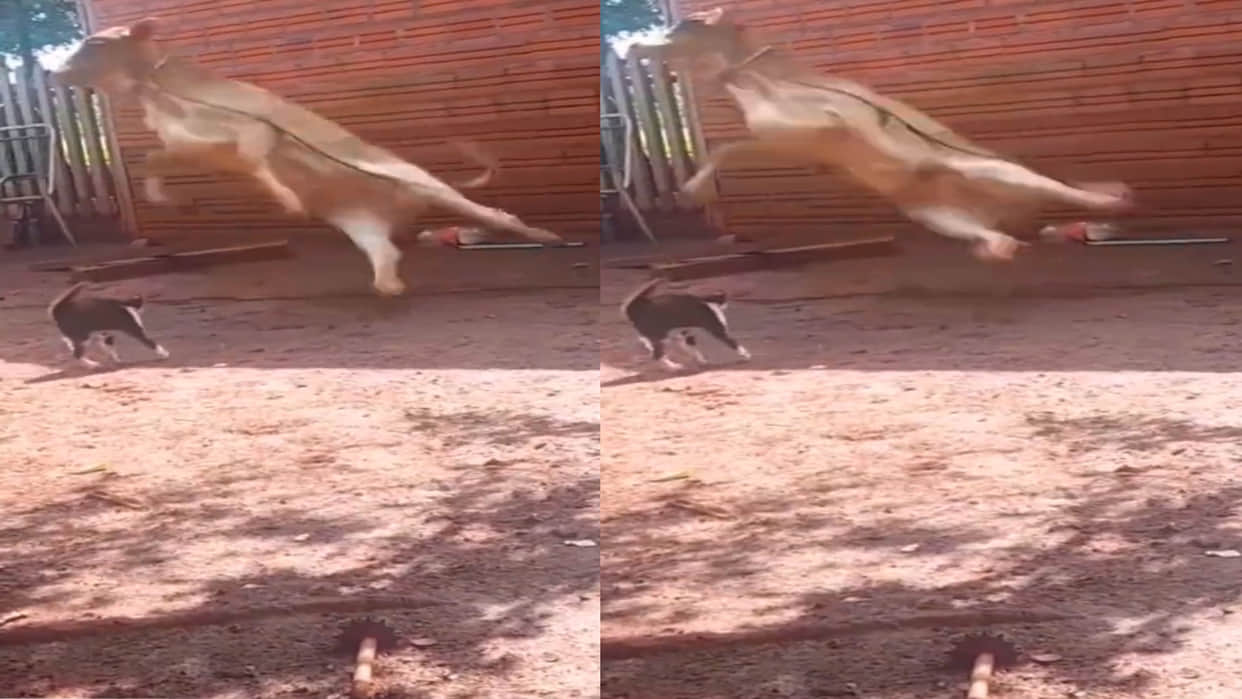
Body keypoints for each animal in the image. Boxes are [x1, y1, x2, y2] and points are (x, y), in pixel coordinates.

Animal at [52, 17, 564, 296]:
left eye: (96, 42)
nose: (55, 72)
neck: (155, 88)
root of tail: (397, 204)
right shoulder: (186, 146)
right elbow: (150, 162)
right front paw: (171, 200)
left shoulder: (252, 128)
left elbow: (255, 157)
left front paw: (289, 201)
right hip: (360, 222)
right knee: (387, 253)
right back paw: (390, 286)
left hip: (429, 187)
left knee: (497, 214)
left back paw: (549, 236)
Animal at [630, 8, 1133, 261]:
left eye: (678, 25)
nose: (631, 42)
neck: (745, 75)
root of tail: (1006, 215)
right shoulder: (781, 137)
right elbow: (728, 147)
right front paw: (691, 190)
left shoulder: (817, 124)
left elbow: (730, 145)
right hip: (934, 214)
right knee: (998, 233)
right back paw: (999, 246)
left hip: (996, 173)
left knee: (1067, 192)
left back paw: (1112, 200)